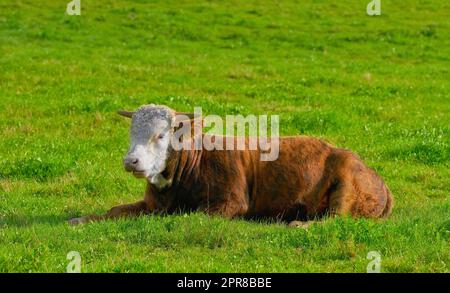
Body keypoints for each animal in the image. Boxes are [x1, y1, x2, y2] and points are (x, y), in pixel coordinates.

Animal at [67, 104, 394, 225]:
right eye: (131, 133)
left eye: (161, 135)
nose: (131, 161)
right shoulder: (152, 203)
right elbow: (115, 211)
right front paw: (80, 219)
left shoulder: (231, 203)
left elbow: (190, 215)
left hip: (345, 183)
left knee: (335, 218)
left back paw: (298, 223)